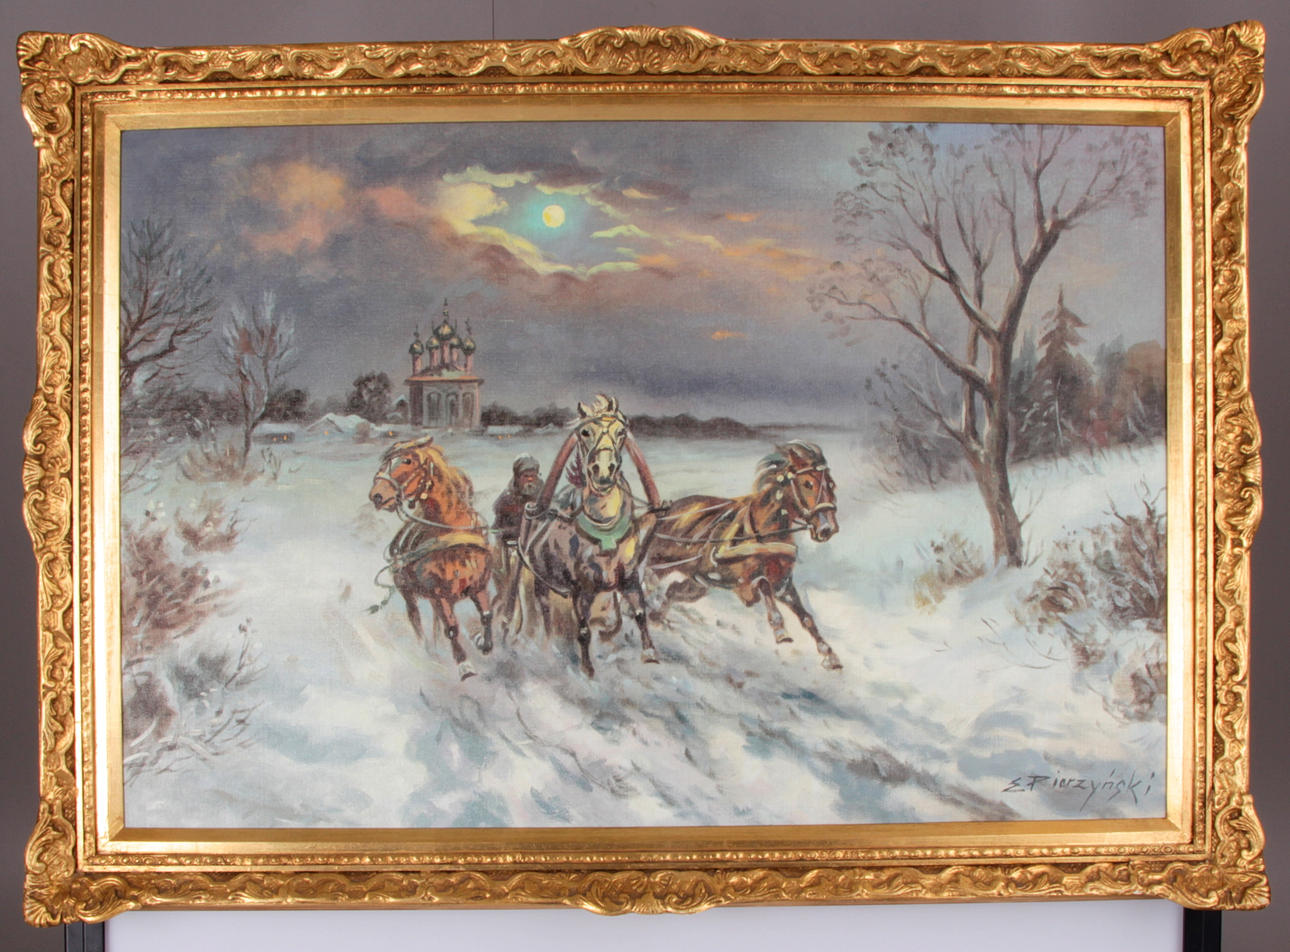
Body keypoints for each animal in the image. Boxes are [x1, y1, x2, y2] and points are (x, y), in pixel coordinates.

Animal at [368, 435, 494, 681]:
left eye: (407, 460)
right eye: (386, 462)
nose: (376, 495)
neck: (452, 531)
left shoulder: (479, 586)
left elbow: (486, 615)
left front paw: (482, 642)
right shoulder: (440, 594)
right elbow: (452, 628)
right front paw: (464, 664)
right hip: (409, 593)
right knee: (416, 619)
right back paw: (426, 650)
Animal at [508, 395, 664, 678]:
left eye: (621, 432)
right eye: (585, 432)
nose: (603, 471)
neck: (605, 534)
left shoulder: (629, 577)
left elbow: (639, 612)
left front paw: (649, 652)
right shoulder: (582, 588)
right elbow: (582, 629)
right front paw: (587, 668)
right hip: (539, 577)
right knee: (544, 608)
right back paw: (547, 641)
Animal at [645, 440, 844, 671]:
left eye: (831, 484)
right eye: (808, 484)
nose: (828, 528)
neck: (764, 532)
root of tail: (668, 510)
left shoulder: (783, 585)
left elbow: (806, 618)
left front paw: (828, 653)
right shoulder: (745, 582)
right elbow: (763, 585)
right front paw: (780, 629)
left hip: (698, 583)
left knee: (672, 591)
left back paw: (656, 616)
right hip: (657, 565)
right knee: (644, 585)